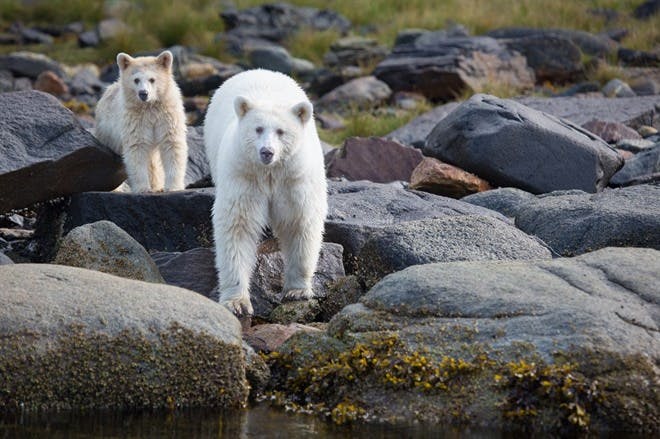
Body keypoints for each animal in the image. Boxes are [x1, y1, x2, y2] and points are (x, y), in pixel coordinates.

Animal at [95, 50, 187, 193]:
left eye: (152, 79)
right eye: (136, 80)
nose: (143, 93)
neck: (149, 107)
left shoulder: (167, 115)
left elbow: (172, 144)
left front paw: (173, 187)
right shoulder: (135, 120)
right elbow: (137, 148)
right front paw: (143, 188)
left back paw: (157, 186)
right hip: (107, 134)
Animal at [204, 69, 328, 315]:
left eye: (281, 131)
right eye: (258, 129)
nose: (266, 152)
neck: (270, 173)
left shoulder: (293, 179)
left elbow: (300, 221)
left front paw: (297, 290)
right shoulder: (244, 176)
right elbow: (238, 225)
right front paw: (237, 302)